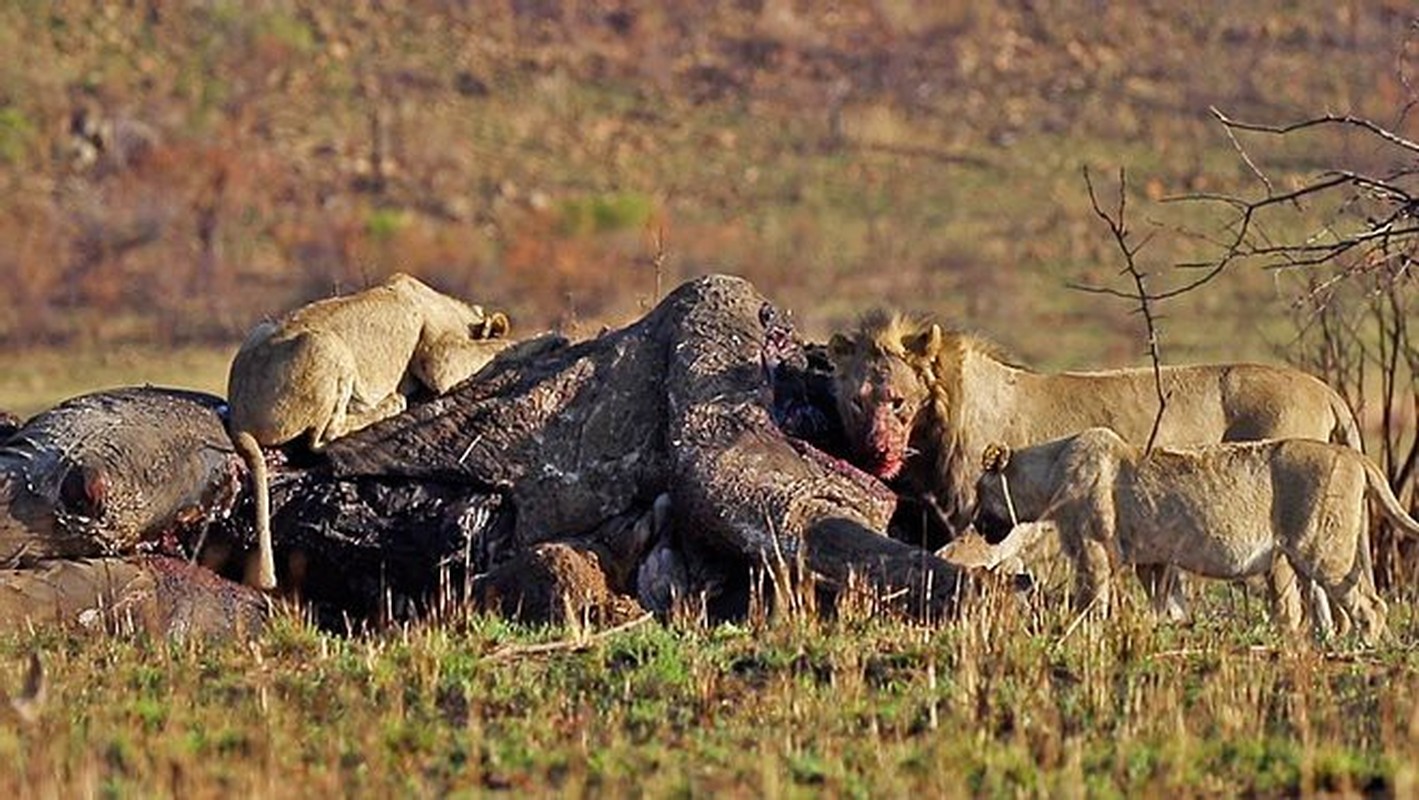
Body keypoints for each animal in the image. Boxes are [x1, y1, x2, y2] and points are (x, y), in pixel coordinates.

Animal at [229, 272, 519, 590]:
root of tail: (238, 415)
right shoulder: (440, 359)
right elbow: (494, 346)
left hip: (265, 328)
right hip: (329, 347)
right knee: (323, 437)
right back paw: (390, 403)